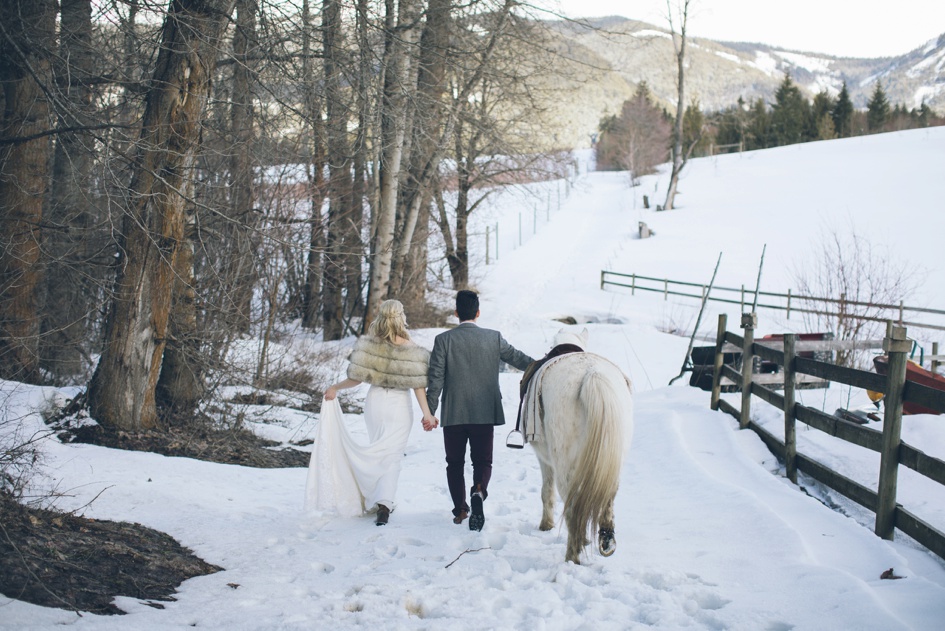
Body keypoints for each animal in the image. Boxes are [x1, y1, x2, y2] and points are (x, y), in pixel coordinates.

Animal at [520, 328, 632, 564]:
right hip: (612, 462)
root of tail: (592, 375)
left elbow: (547, 491)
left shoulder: (545, 460)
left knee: (572, 509)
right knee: (607, 499)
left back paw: (572, 555)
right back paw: (605, 542)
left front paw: (546, 525)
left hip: (565, 467)